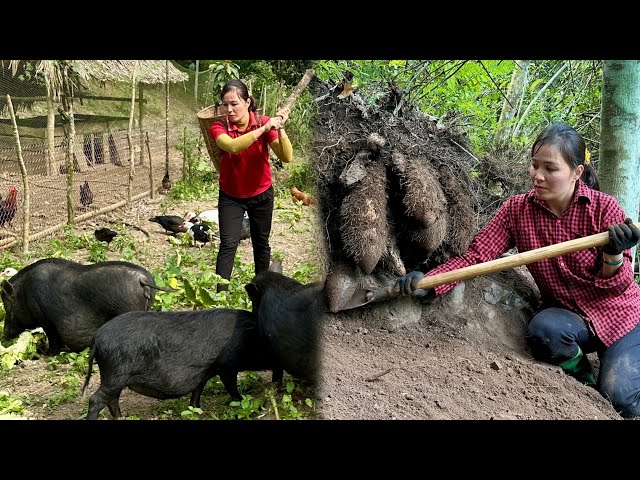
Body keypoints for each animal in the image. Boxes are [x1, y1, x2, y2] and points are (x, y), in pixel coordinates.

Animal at [0, 256, 175, 354]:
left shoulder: (44, 318)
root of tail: (142, 280)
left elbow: (53, 338)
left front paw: (46, 353)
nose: (4, 335)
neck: (24, 293)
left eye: (7, 305)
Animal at [81, 310, 282, 418]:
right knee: (96, 399)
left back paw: (123, 417)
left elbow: (197, 391)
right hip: (116, 374)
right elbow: (232, 387)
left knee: (112, 399)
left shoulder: (204, 372)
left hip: (114, 377)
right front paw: (246, 404)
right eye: (269, 344)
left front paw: (196, 410)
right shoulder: (227, 366)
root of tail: (97, 338)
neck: (249, 336)